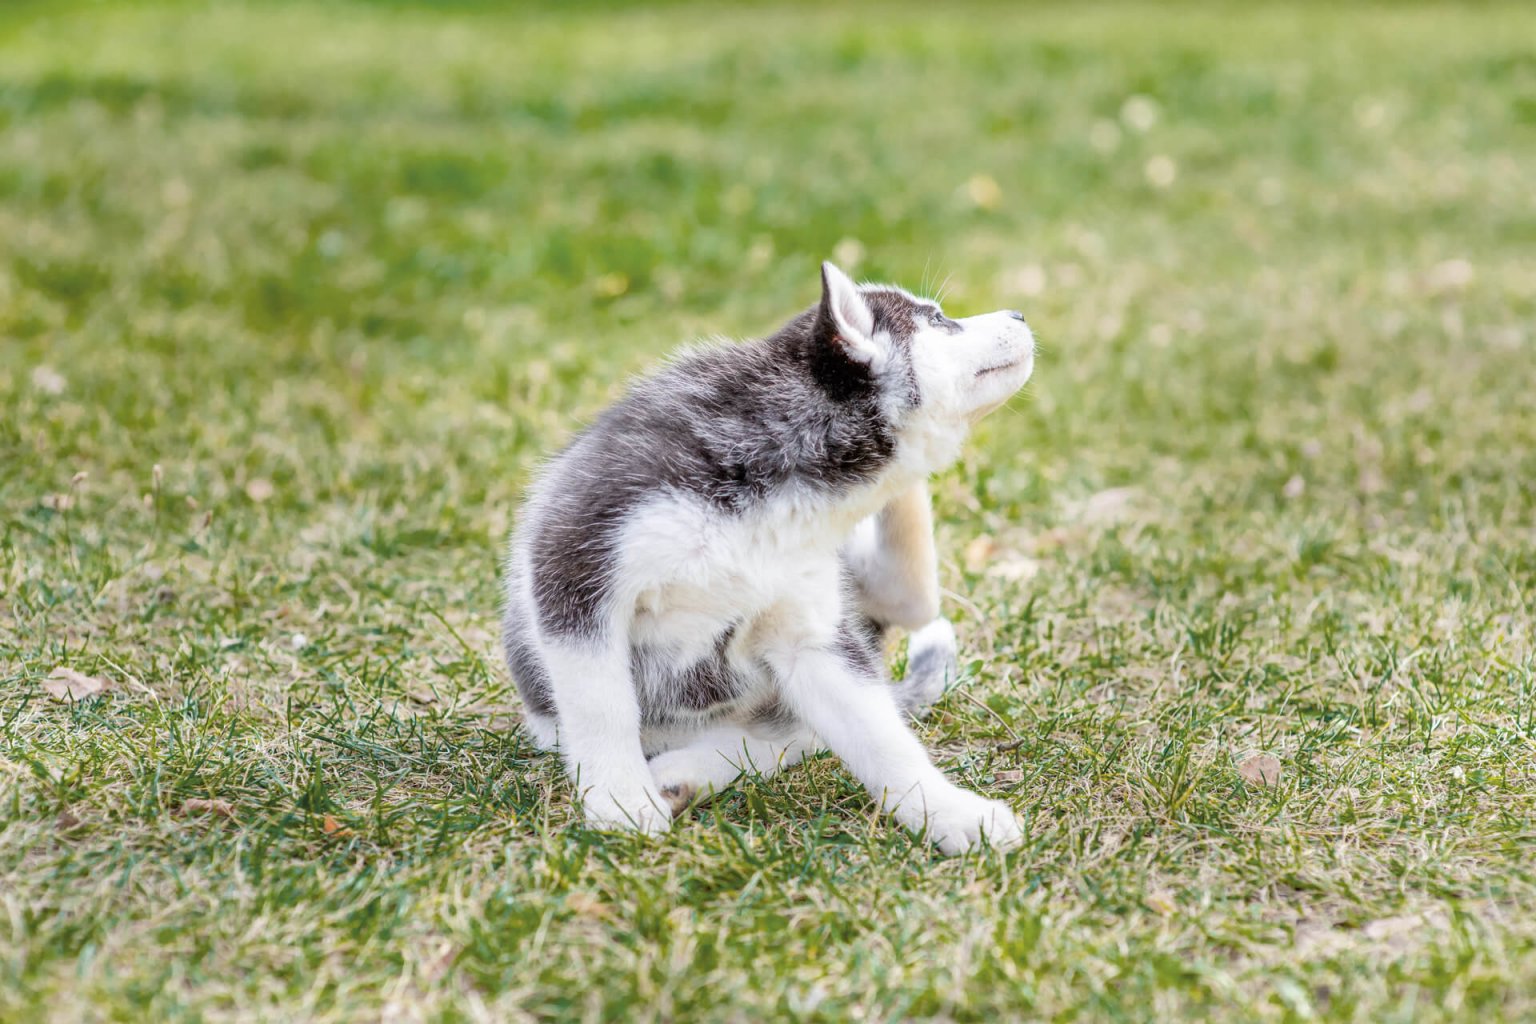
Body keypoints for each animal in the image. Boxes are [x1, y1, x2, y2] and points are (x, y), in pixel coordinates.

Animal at [503, 260, 1032, 853]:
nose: (1020, 313)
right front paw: (619, 800)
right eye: (938, 319)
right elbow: (601, 705)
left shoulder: (810, 635)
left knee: (796, 728)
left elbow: (884, 741)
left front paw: (950, 812)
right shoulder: (575, 559)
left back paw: (687, 772)